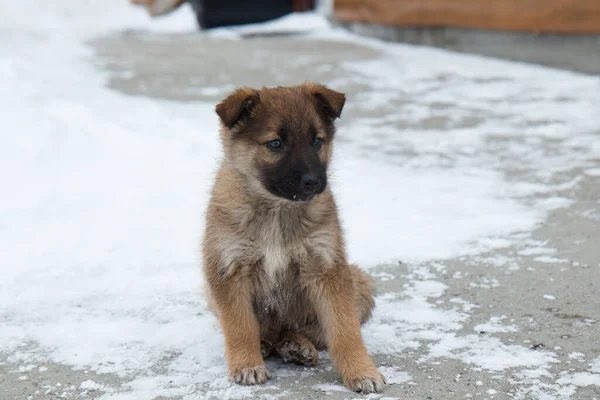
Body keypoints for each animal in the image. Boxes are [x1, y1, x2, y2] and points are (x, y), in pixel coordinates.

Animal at [204, 82, 386, 394]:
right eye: (275, 144)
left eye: (317, 141)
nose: (313, 181)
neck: (277, 210)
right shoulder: (229, 268)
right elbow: (240, 325)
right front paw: (246, 365)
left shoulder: (326, 267)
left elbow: (344, 328)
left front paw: (362, 371)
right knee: (264, 331)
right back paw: (266, 345)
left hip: (360, 284)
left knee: (305, 332)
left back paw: (297, 346)